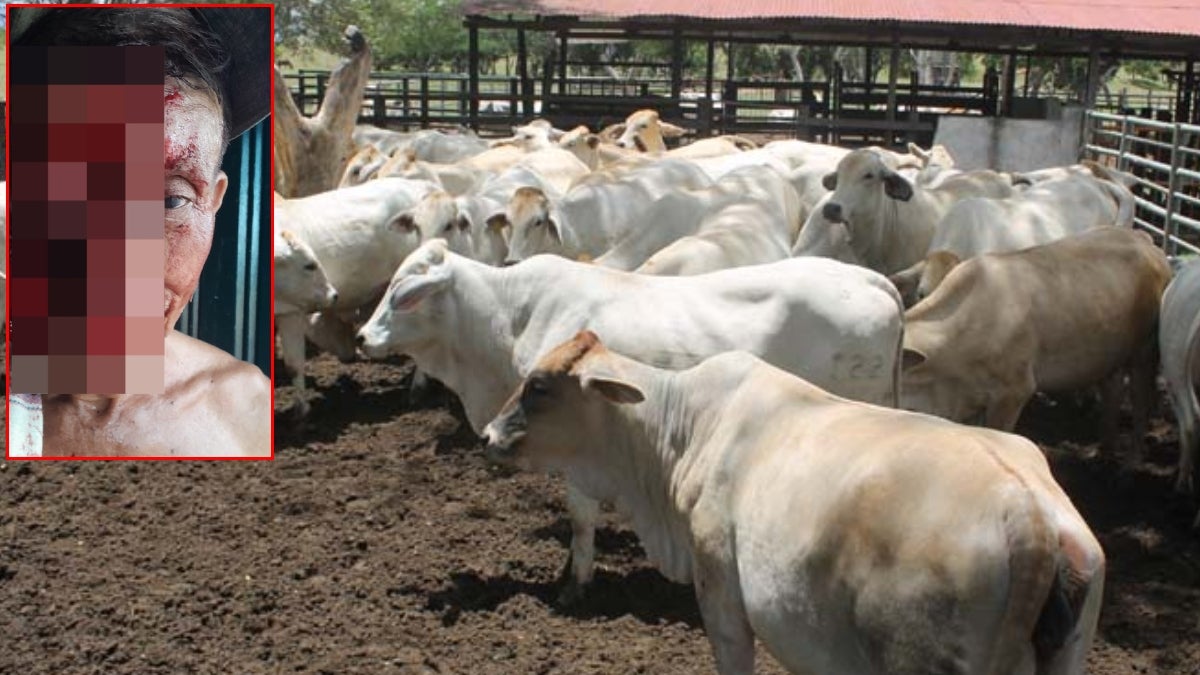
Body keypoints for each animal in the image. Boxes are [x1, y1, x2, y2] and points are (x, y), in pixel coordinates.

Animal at [357, 240, 904, 603]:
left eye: (403, 292)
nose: (362, 338)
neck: (508, 319)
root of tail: (869, 279)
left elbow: (581, 517)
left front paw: (575, 584)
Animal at [901, 227, 1171, 455]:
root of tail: (1144, 239)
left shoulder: (1014, 391)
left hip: (1145, 350)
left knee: (1140, 400)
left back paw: (1132, 459)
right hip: (1109, 353)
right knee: (1113, 391)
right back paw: (1105, 450)